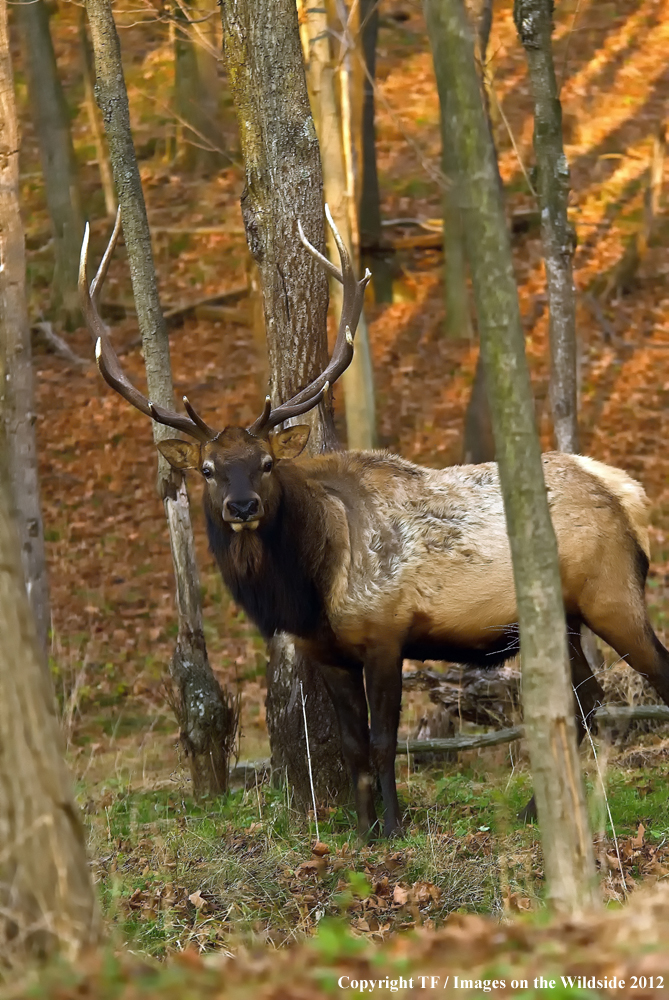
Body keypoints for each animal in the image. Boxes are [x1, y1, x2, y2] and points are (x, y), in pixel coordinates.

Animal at [81, 209, 668, 836]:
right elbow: (354, 745)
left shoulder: (387, 632)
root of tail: (627, 492)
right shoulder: (325, 652)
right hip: (567, 613)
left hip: (612, 588)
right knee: (587, 694)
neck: (308, 588)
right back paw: (538, 809)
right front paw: (362, 831)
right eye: (209, 470)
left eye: (266, 463)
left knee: (652, 673)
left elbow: (386, 740)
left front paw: (393, 826)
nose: (242, 507)